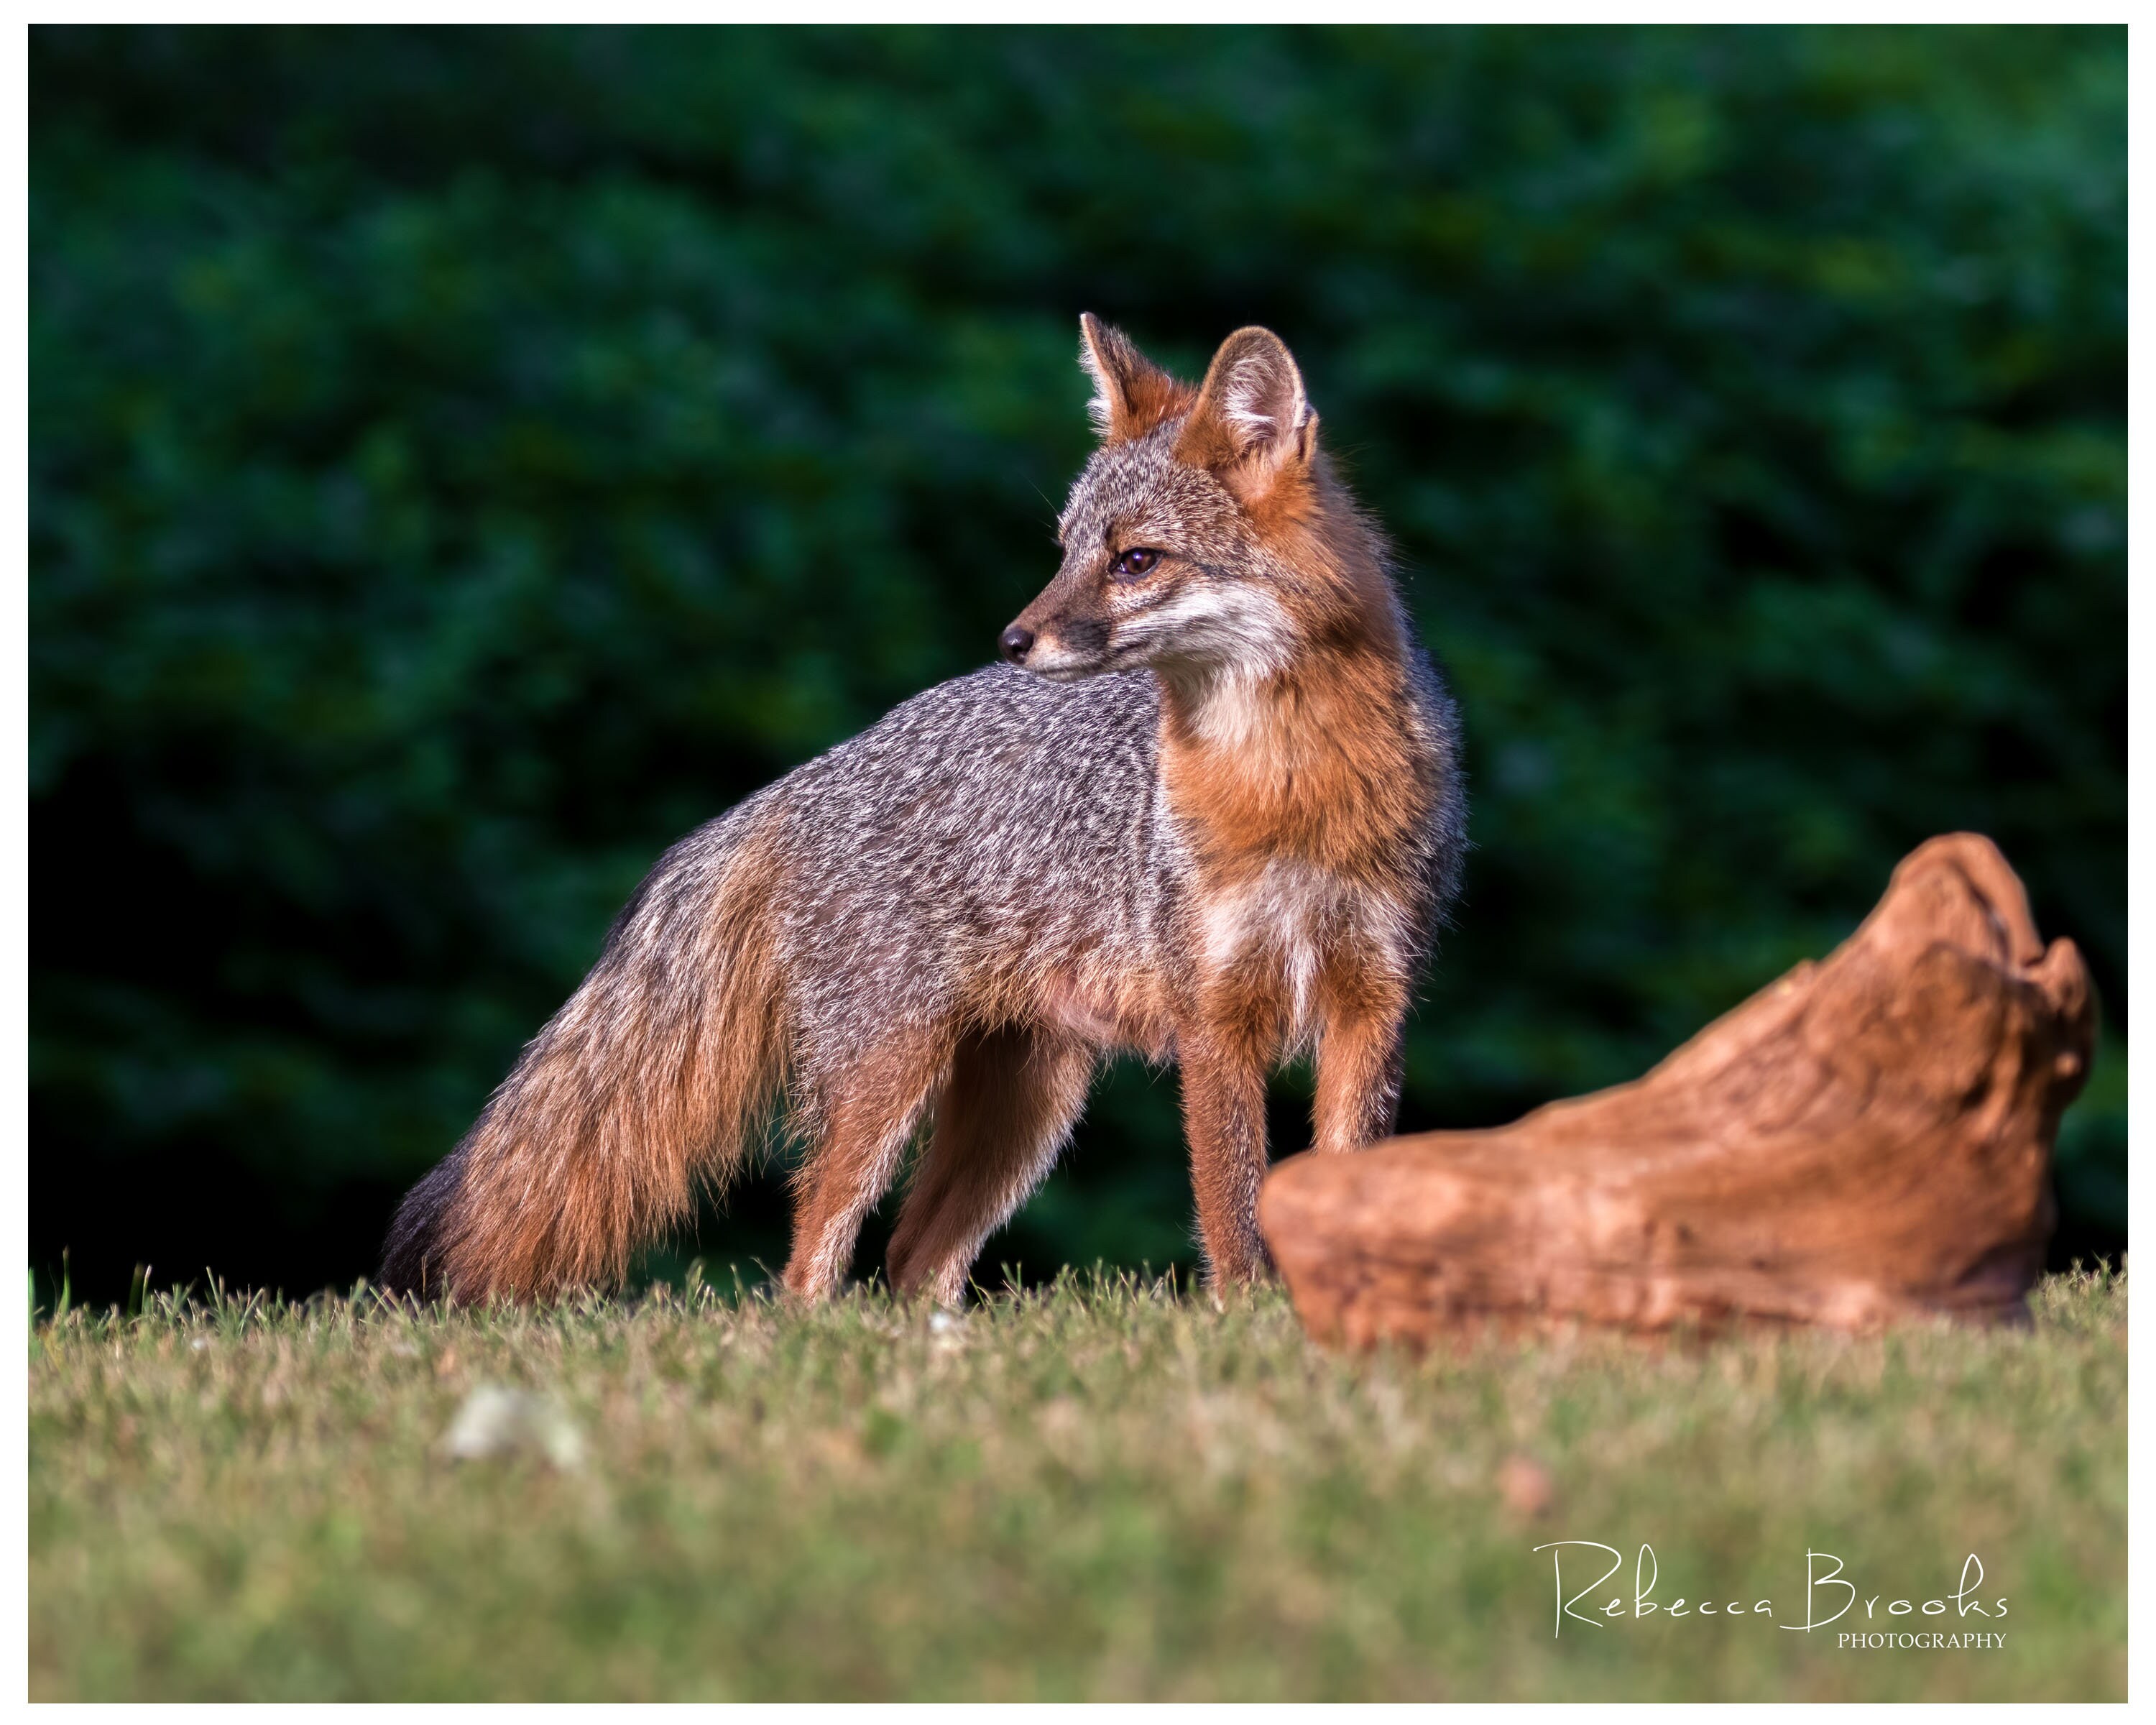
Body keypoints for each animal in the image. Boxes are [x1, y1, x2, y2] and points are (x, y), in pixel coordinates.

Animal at [380, 316, 1465, 1306]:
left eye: (1136, 561)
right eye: (1066, 552)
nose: (1012, 640)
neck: (1291, 787)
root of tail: (815, 771)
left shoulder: (1375, 1002)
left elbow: (1348, 1183)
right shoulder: (1216, 1020)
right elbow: (1232, 1210)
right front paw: (1254, 1325)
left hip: (1027, 1106)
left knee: (913, 1261)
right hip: (893, 1082)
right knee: (815, 1257)